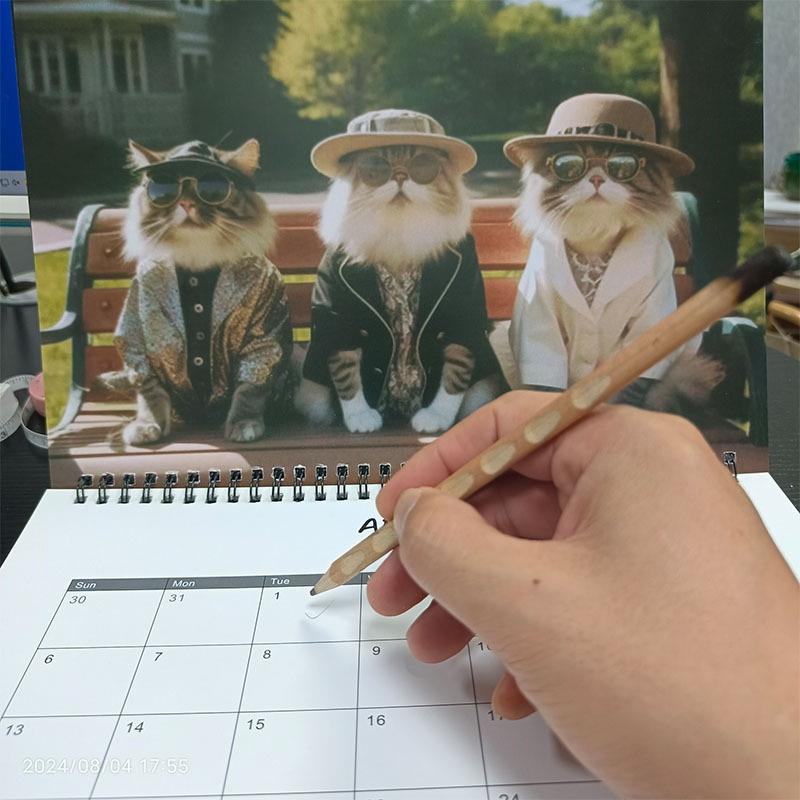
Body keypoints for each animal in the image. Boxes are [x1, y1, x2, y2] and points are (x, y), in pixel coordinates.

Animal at [100, 138, 293, 445]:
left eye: (213, 188)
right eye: (163, 189)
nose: (186, 202)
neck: (197, 259)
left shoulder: (262, 342)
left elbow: (248, 391)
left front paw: (244, 424)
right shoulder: (139, 345)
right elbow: (150, 394)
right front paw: (147, 425)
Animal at [296, 143, 504, 433]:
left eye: (423, 164)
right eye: (374, 167)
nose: (400, 176)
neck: (399, 231)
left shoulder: (462, 317)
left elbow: (455, 374)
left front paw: (435, 417)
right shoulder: (340, 320)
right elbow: (346, 375)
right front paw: (361, 418)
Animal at [510, 140, 723, 409]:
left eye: (622, 165)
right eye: (569, 165)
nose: (597, 178)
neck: (595, 241)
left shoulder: (648, 318)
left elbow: (632, 386)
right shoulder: (540, 314)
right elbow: (546, 384)